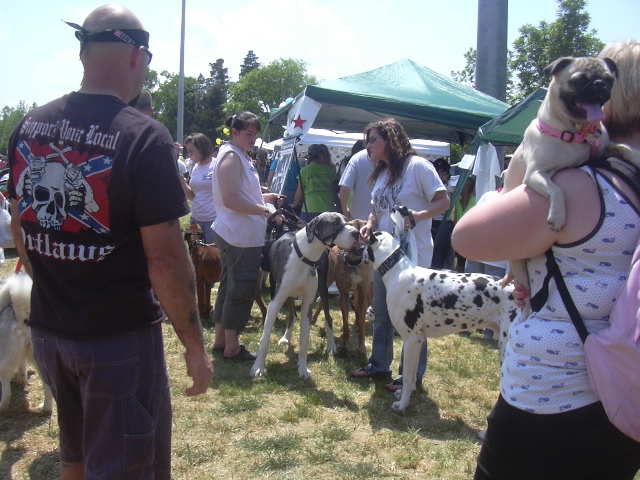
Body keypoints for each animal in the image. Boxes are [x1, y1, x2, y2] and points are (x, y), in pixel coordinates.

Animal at [250, 213, 360, 378]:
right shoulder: (275, 302)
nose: (357, 233)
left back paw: (331, 346)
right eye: (335, 223)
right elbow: (265, 337)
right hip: (289, 295)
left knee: (328, 318)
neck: (305, 255)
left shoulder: (308, 304)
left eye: (347, 221)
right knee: (292, 315)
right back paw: (286, 338)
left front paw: (302, 368)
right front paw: (258, 367)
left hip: (323, 290)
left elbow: (304, 342)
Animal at [364, 231, 520, 410]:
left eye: (363, 244)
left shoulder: (412, 340)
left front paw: (403, 404)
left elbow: (408, 377)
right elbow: (411, 377)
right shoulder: (419, 341)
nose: (355, 252)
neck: (397, 270)